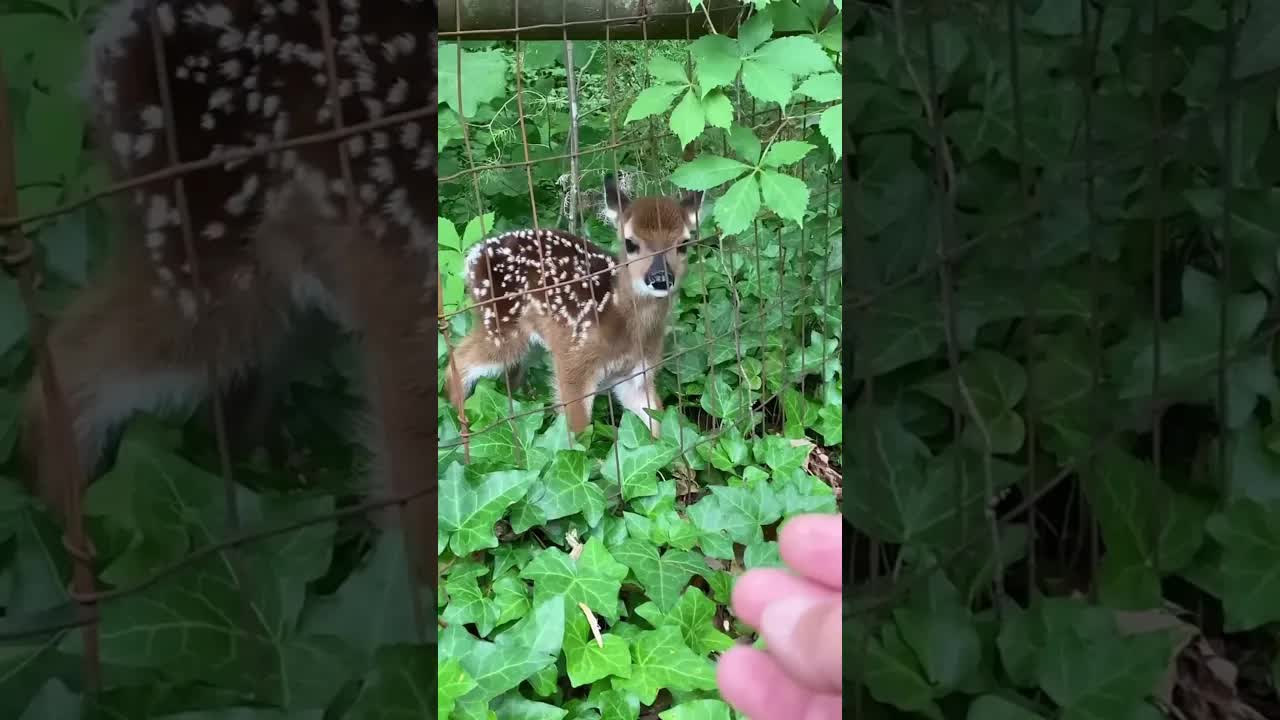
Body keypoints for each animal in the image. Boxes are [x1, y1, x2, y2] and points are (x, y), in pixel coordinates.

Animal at [445, 174, 703, 439]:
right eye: (630, 243)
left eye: (684, 243)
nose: (660, 278)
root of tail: (473, 256)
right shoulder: (575, 362)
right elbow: (578, 434)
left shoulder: (638, 374)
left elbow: (656, 426)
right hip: (502, 326)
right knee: (459, 360)